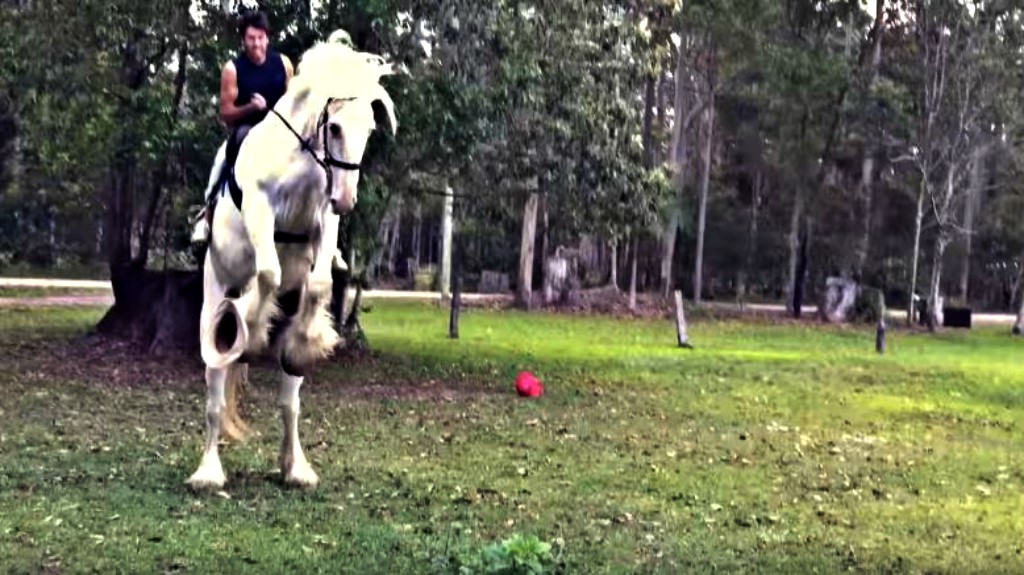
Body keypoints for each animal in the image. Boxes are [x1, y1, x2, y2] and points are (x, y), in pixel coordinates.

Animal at [186, 33, 397, 491]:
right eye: (334, 127)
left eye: (369, 129)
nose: (347, 199)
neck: (298, 159)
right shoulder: (261, 211)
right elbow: (267, 272)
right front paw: (249, 327)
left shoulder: (324, 219)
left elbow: (318, 285)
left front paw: (308, 341)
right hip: (212, 301)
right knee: (214, 393)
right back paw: (208, 472)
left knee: (289, 402)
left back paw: (295, 467)